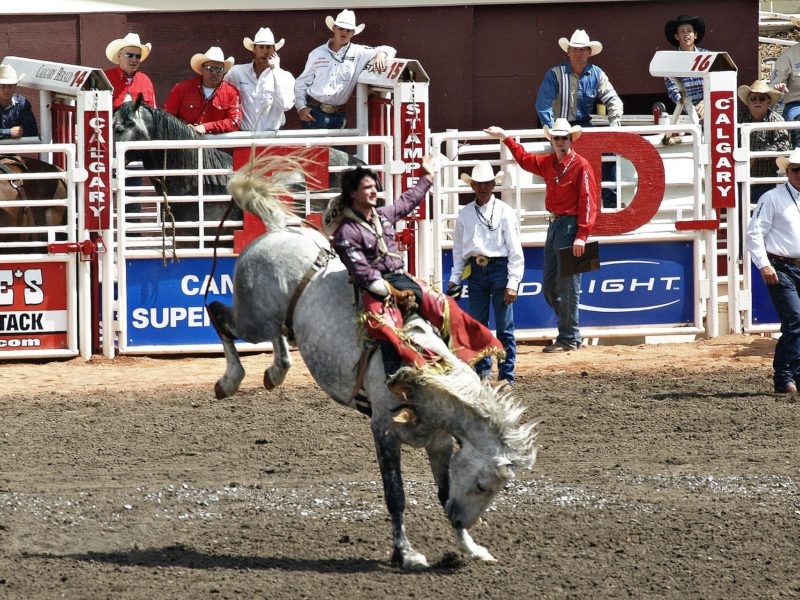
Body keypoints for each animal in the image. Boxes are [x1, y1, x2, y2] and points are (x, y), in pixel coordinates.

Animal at [209, 152, 540, 568]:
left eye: (494, 489)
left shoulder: (439, 442)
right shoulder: (383, 430)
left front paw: (469, 547)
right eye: (482, 484)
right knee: (218, 313)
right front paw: (406, 553)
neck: (426, 377)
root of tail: (279, 229)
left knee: (276, 338)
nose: (458, 516)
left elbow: (442, 488)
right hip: (252, 317)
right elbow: (395, 495)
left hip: (277, 320)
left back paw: (275, 371)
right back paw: (230, 380)